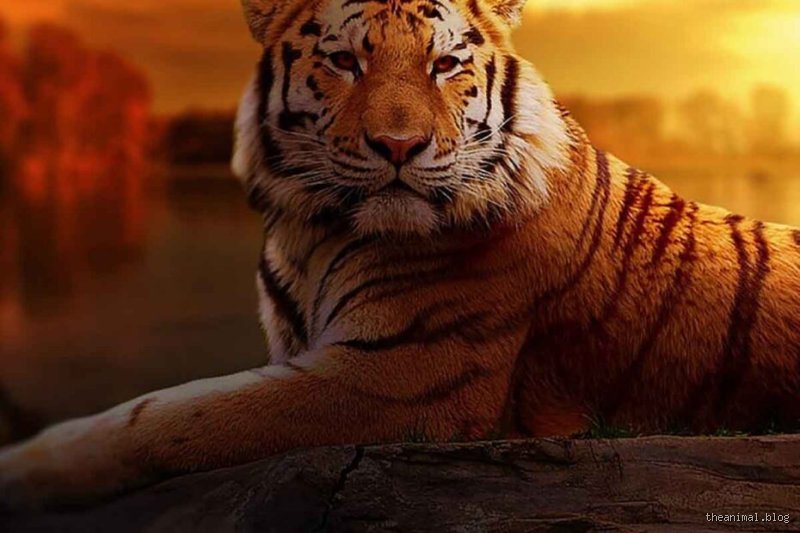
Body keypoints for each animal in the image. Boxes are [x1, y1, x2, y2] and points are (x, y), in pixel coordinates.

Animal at [1, 0, 799, 511]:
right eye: (344, 62)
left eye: (445, 64)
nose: (398, 146)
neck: (311, 228)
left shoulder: (396, 377)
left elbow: (166, 416)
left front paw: (28, 470)